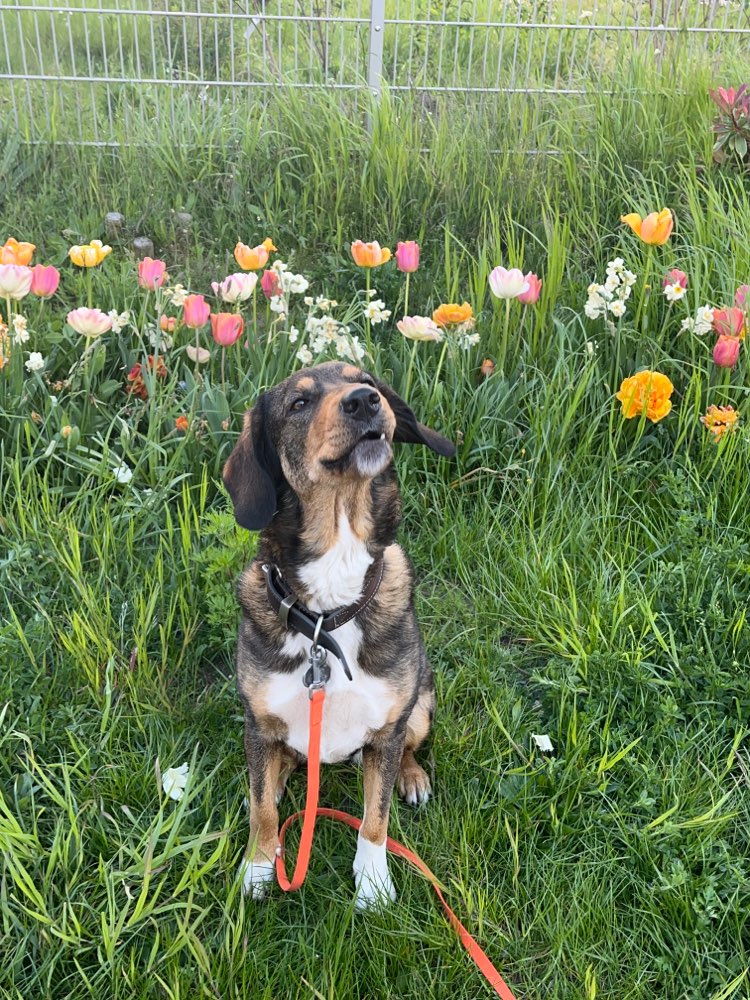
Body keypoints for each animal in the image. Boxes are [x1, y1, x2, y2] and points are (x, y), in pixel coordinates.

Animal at [223, 360, 456, 908]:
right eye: (299, 403)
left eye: (366, 378)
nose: (364, 401)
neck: (328, 613)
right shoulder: (258, 721)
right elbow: (263, 810)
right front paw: (259, 867)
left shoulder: (388, 726)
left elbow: (375, 816)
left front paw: (372, 883)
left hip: (421, 704)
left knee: (408, 748)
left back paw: (412, 776)